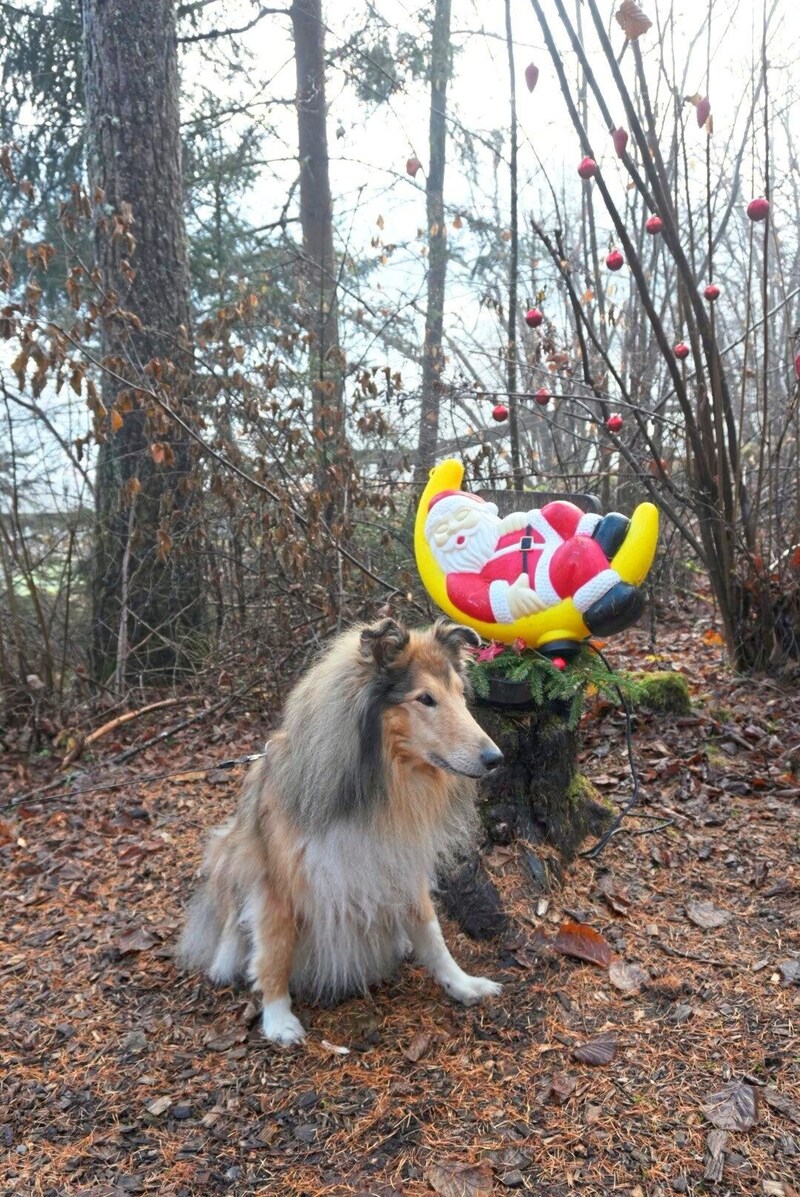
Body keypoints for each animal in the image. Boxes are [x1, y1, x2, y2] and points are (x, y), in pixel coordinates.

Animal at [178, 622, 502, 1043]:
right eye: (426, 699)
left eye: (461, 696)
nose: (496, 759)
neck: (378, 786)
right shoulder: (277, 883)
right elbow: (275, 951)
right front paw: (278, 1018)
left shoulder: (400, 861)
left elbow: (431, 932)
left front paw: (462, 984)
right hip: (228, 848)